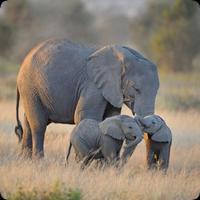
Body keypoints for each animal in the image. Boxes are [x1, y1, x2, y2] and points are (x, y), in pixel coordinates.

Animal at [14, 38, 159, 158]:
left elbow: (110, 117)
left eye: (157, 90)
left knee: (28, 122)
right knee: (38, 124)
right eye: (136, 89)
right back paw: (39, 161)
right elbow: (85, 116)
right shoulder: (92, 85)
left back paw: (25, 161)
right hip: (30, 87)